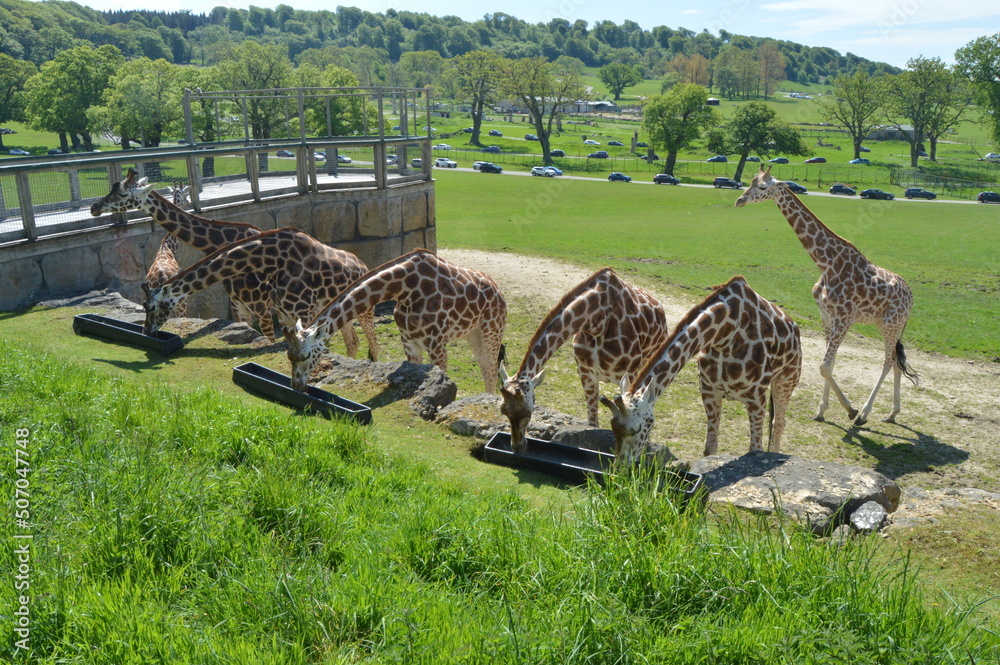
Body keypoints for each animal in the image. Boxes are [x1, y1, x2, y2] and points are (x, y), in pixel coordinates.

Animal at [142, 227, 378, 362]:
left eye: (150, 307)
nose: (146, 332)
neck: (272, 259)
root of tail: (363, 265)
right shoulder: (284, 314)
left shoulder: (303, 312)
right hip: (342, 311)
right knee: (353, 341)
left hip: (366, 309)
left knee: (373, 342)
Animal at [286, 249, 507, 394]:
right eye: (289, 357)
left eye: (306, 356)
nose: (296, 386)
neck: (406, 289)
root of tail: (498, 289)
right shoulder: (409, 341)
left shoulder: (436, 344)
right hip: (473, 333)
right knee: (484, 365)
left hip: (492, 330)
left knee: (491, 367)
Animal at [498, 267, 670, 452]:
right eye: (503, 411)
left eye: (529, 411)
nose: (518, 447)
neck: (596, 321)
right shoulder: (585, 372)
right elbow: (593, 423)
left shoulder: (628, 375)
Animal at [600, 276, 802, 462]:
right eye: (612, 427)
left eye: (638, 429)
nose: (621, 468)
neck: (726, 333)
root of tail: (794, 326)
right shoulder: (709, 391)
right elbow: (710, 449)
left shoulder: (756, 399)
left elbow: (755, 449)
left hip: (786, 380)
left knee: (778, 422)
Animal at [734, 166, 918, 426]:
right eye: (750, 182)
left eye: (761, 187)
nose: (739, 200)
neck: (827, 264)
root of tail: (911, 297)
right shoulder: (827, 317)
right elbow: (829, 365)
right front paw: (822, 410)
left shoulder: (844, 319)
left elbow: (824, 366)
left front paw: (851, 410)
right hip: (889, 325)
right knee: (897, 363)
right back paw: (892, 413)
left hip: (891, 324)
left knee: (889, 361)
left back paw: (865, 413)